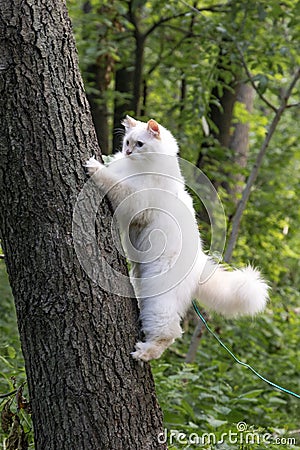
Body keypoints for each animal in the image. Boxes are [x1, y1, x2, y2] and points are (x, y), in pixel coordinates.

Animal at [85, 117, 270, 362]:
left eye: (139, 144)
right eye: (126, 142)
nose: (127, 152)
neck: (142, 166)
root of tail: (200, 262)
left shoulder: (135, 202)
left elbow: (112, 182)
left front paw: (94, 166)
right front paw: (106, 159)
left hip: (159, 301)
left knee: (171, 333)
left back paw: (143, 353)